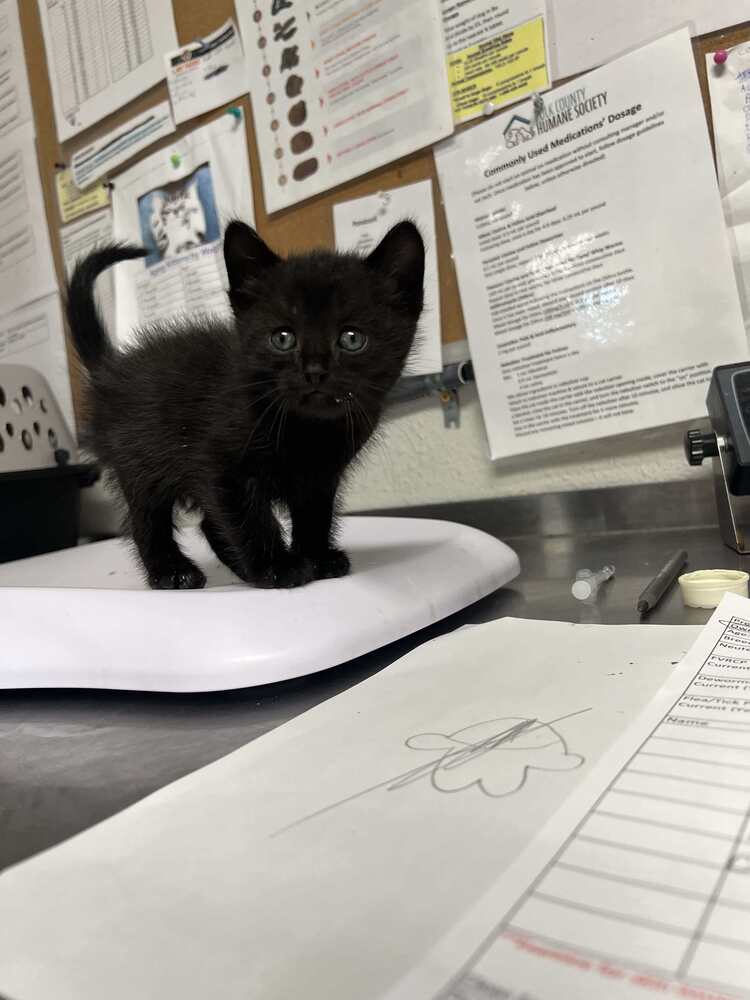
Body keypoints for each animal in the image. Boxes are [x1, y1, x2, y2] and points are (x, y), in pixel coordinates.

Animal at [66, 221, 424, 584]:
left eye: (352, 339)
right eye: (283, 338)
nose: (314, 370)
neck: (308, 430)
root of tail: (110, 369)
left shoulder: (321, 475)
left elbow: (314, 514)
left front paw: (316, 558)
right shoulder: (221, 466)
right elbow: (249, 518)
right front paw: (278, 567)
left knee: (209, 523)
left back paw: (239, 568)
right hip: (138, 460)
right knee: (147, 517)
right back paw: (173, 572)